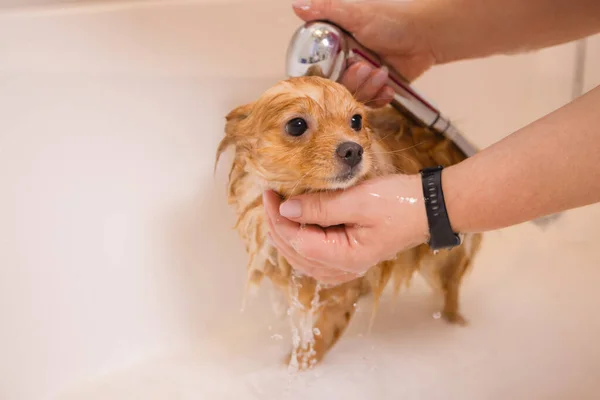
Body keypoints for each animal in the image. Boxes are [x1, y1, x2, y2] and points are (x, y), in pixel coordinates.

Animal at [216, 74, 482, 368]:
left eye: (356, 120)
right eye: (297, 125)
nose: (353, 150)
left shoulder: (338, 287)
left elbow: (323, 330)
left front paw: (300, 362)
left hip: (446, 261)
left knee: (450, 289)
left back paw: (454, 321)